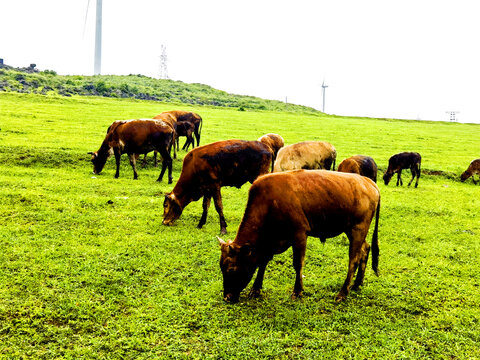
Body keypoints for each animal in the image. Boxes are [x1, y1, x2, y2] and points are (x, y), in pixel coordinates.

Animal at [219, 170, 380, 302]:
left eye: (231, 269)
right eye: (221, 267)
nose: (227, 297)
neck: (268, 203)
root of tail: (368, 181)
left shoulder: (300, 235)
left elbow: (298, 264)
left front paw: (297, 291)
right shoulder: (269, 242)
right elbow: (262, 262)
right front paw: (255, 289)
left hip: (357, 229)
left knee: (353, 260)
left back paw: (343, 292)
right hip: (353, 231)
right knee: (365, 249)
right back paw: (357, 284)